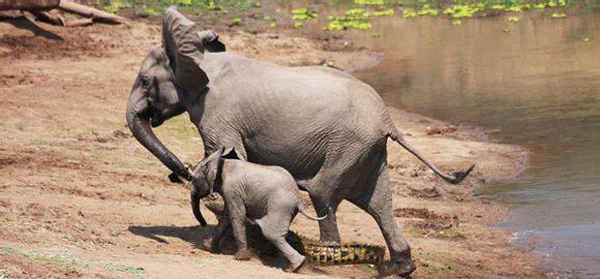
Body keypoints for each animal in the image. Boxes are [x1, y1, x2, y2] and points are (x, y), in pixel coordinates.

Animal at [190, 148, 326, 272]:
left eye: (193, 180)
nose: (203, 224)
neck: (221, 162)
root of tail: (298, 199)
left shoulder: (232, 189)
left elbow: (237, 216)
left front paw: (240, 258)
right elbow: (226, 217)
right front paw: (208, 247)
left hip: (279, 206)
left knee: (271, 233)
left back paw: (294, 267)